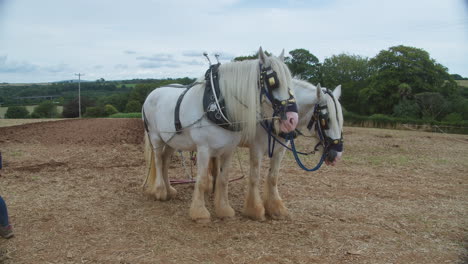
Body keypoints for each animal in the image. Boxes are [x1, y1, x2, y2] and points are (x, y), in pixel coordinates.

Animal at [141, 47, 298, 223]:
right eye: (273, 82)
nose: (292, 120)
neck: (217, 105)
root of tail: (151, 94)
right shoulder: (204, 149)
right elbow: (202, 180)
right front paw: (200, 213)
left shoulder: (228, 149)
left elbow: (223, 179)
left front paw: (224, 209)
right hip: (156, 137)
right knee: (158, 160)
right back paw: (160, 191)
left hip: (172, 141)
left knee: (166, 160)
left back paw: (169, 190)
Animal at [212, 78, 344, 221]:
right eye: (326, 119)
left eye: (341, 119)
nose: (336, 155)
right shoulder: (256, 148)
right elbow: (254, 177)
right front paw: (255, 210)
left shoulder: (280, 150)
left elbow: (273, 177)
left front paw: (276, 209)